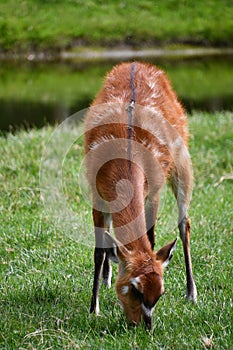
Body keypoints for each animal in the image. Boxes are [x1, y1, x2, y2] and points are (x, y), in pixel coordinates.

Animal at [83, 61, 197, 330]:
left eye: (161, 293)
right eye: (134, 289)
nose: (144, 325)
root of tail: (137, 63)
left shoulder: (152, 191)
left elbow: (151, 239)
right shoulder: (96, 193)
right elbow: (99, 250)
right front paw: (94, 309)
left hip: (183, 163)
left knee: (184, 223)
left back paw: (192, 293)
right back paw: (106, 278)